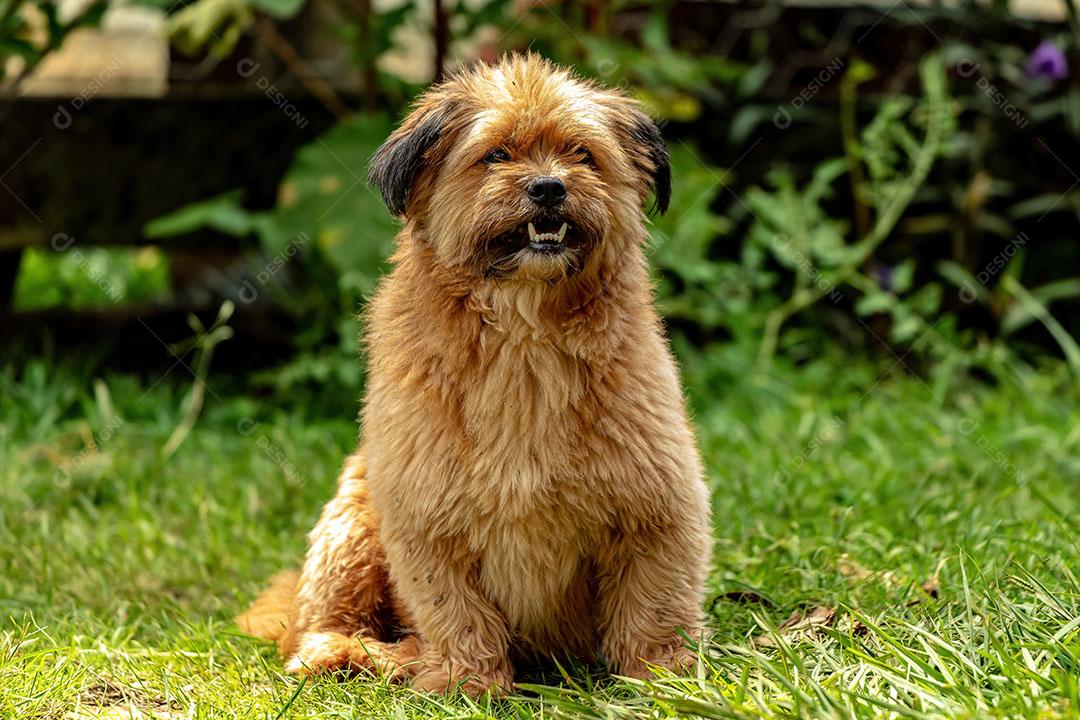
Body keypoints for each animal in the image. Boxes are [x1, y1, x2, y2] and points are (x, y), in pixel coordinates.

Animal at [243, 55, 717, 699]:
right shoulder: (424, 519)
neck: (525, 339)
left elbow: (656, 602)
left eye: (582, 153)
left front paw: (664, 676)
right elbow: (455, 610)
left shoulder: (658, 503)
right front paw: (469, 683)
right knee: (314, 631)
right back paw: (363, 654)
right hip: (352, 525)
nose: (549, 186)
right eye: (496, 154)